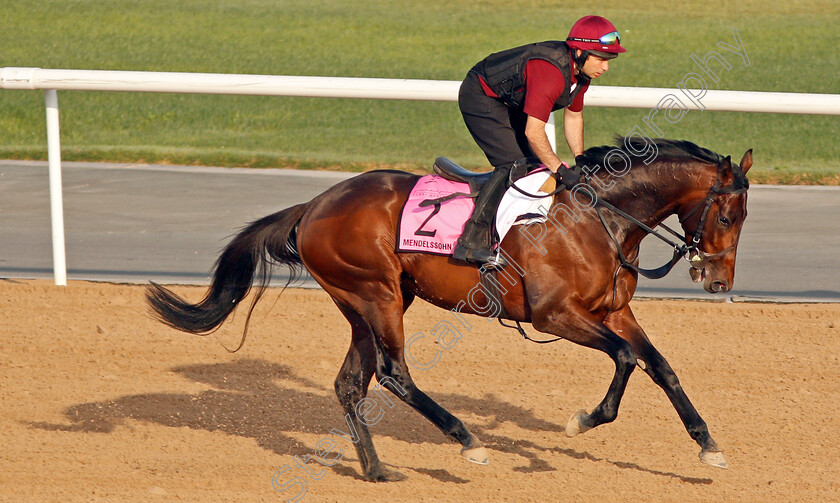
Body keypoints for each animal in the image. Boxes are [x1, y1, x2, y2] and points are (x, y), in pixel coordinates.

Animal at [148, 137, 752, 480]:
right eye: (727, 215)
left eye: (743, 217)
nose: (719, 281)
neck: (596, 217)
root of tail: (315, 204)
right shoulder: (556, 316)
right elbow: (627, 359)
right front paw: (584, 419)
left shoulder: (614, 312)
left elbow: (661, 366)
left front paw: (709, 447)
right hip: (379, 295)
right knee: (393, 374)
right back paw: (467, 443)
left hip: (368, 301)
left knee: (350, 383)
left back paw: (377, 470)